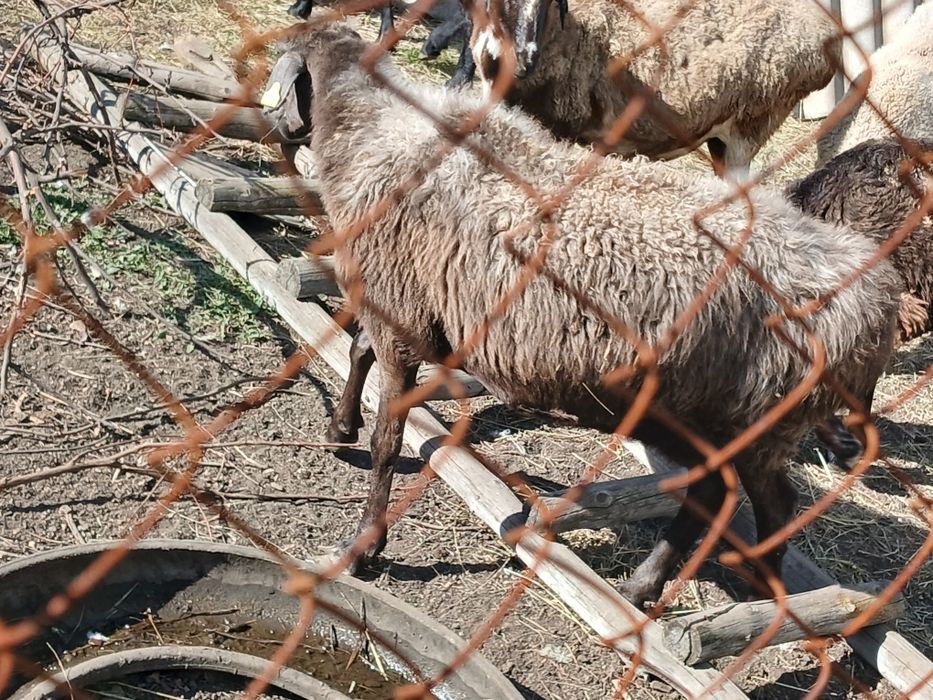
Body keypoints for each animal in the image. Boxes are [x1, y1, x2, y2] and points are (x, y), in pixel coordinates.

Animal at [264, 20, 900, 608]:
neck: (373, 130)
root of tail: (875, 301)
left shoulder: (399, 309)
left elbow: (387, 437)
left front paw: (366, 546)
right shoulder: (405, 307)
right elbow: (358, 352)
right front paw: (340, 427)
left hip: (741, 422)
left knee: (760, 501)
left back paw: (746, 588)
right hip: (717, 421)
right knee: (719, 495)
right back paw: (662, 586)